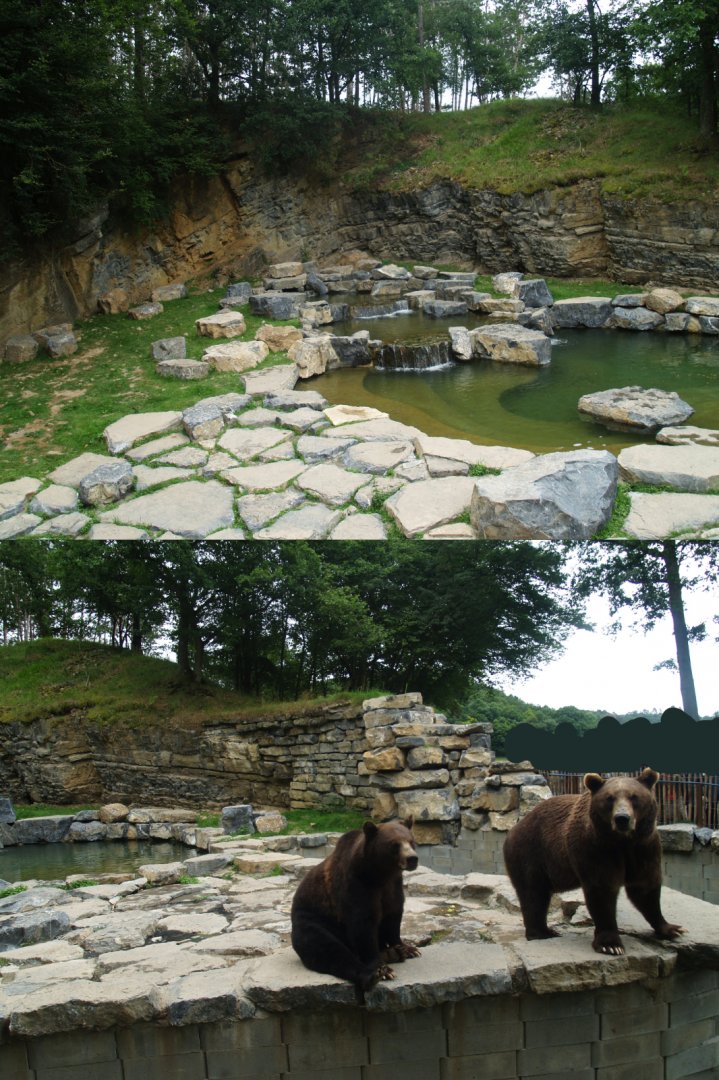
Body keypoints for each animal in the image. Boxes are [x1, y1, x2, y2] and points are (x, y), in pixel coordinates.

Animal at [291, 816, 420, 991]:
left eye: (411, 841)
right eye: (395, 844)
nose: (412, 859)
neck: (380, 874)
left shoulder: (393, 886)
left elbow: (393, 916)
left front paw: (408, 948)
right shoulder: (357, 886)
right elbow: (363, 925)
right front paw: (382, 968)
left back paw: (392, 953)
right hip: (313, 923)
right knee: (330, 950)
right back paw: (374, 974)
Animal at [503, 767, 683, 955]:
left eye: (634, 796)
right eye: (609, 798)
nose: (622, 818)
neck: (622, 842)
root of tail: (514, 828)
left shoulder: (644, 847)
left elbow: (645, 888)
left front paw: (671, 929)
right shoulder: (595, 848)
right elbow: (602, 891)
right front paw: (611, 945)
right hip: (531, 853)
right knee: (533, 893)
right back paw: (541, 933)